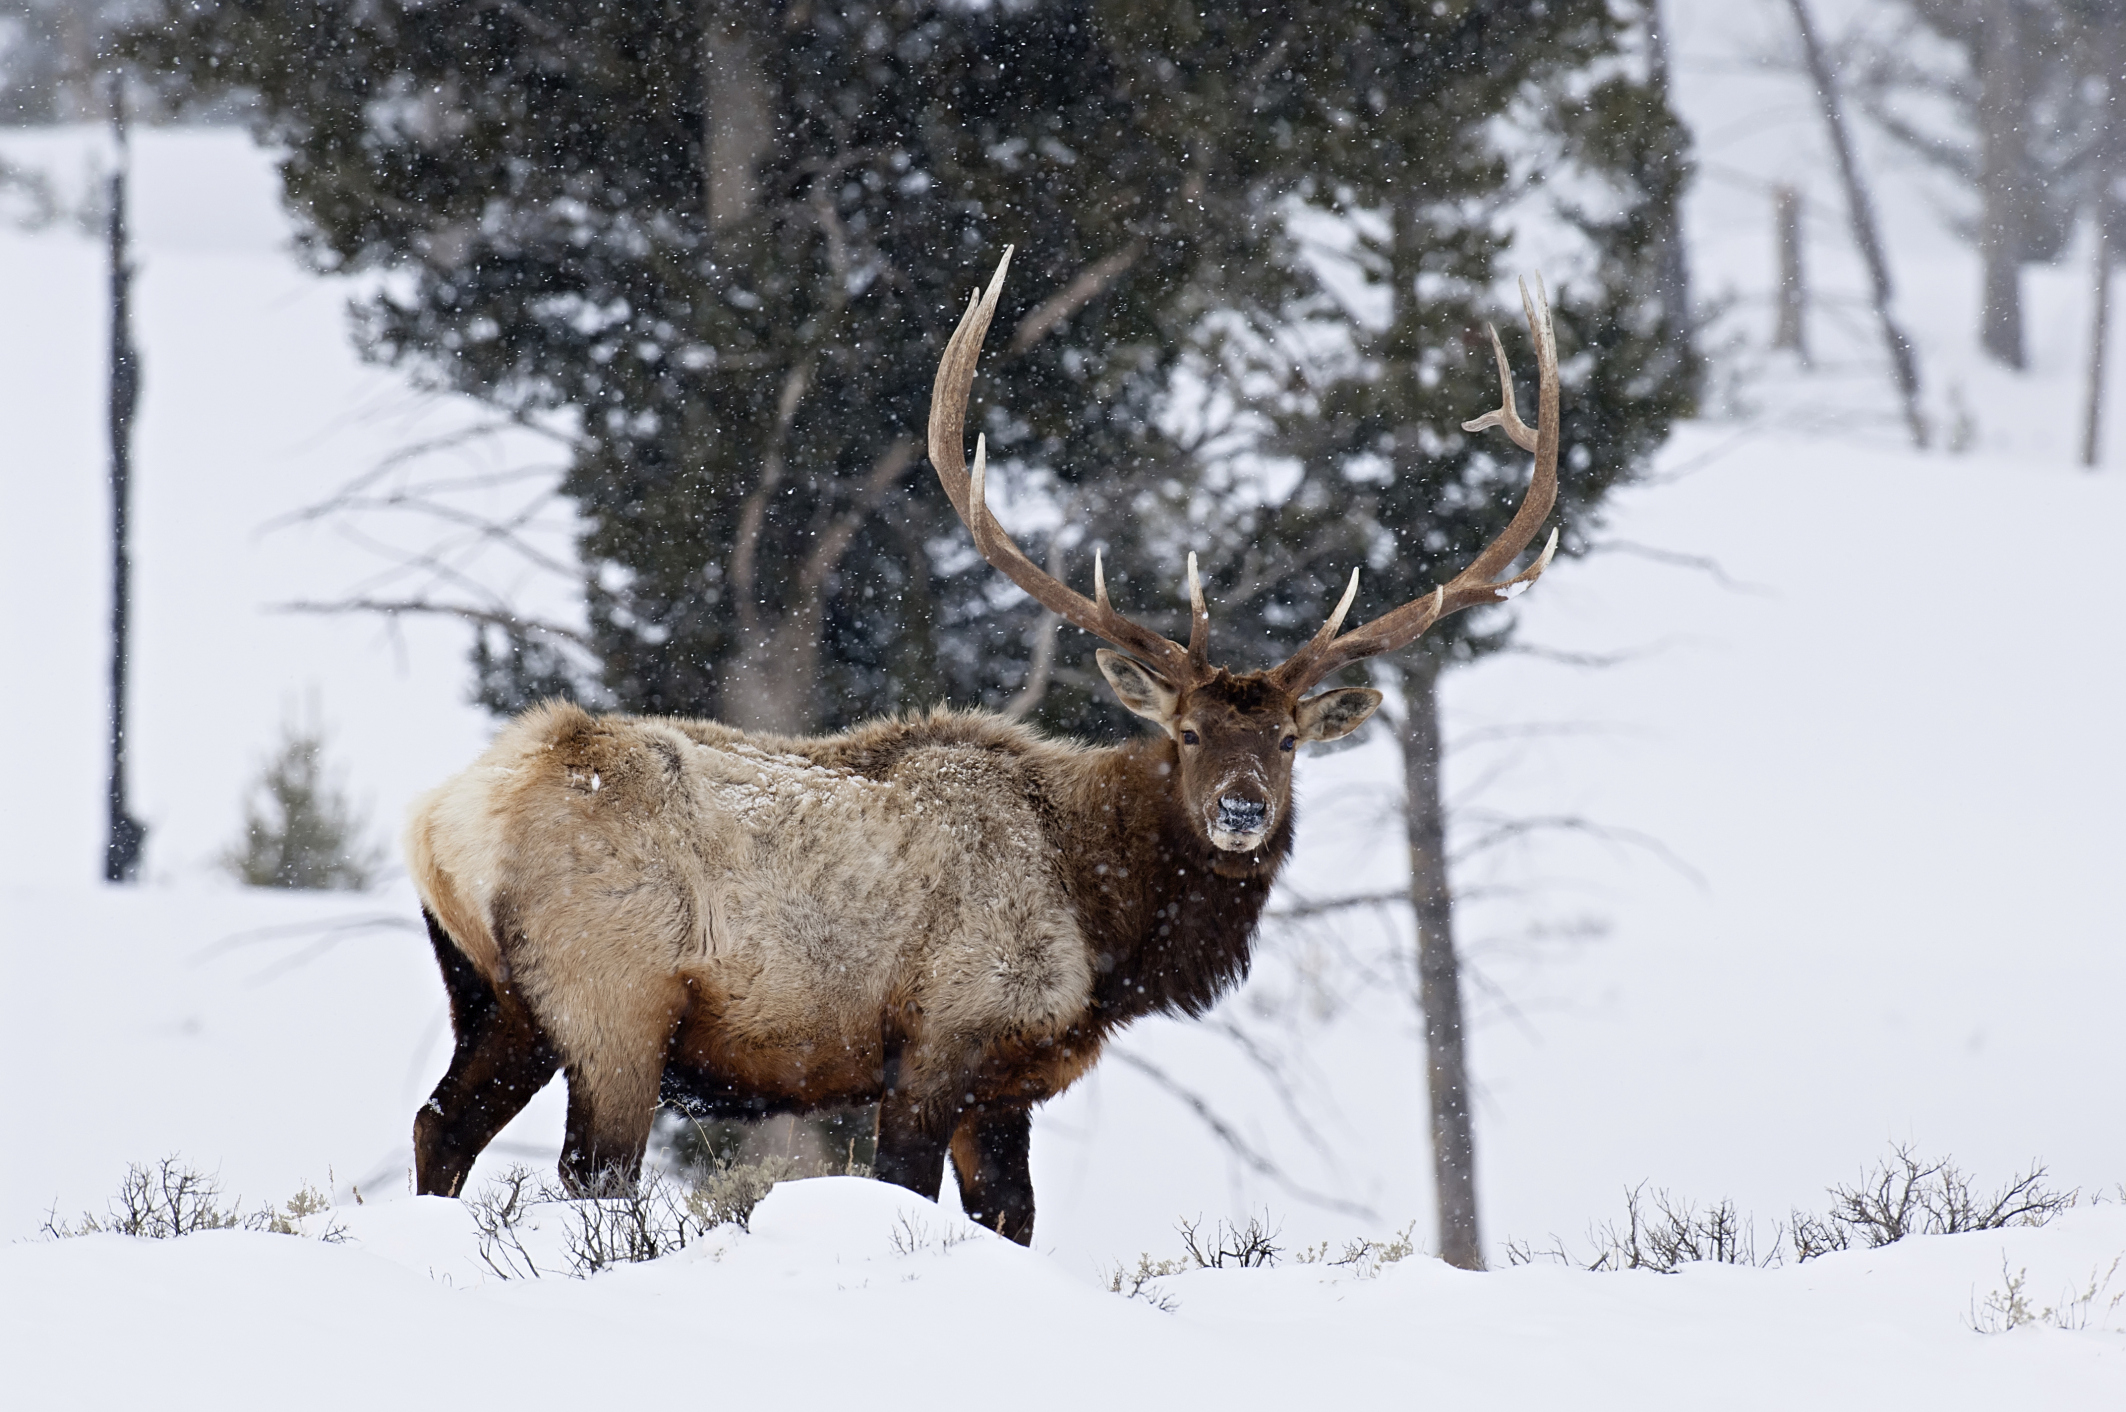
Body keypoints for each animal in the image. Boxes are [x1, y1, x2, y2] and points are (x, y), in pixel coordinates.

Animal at [403, 249, 1561, 1244]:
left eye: (1283, 739)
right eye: (1186, 731)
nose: (1241, 807)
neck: (1103, 930)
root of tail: (443, 820)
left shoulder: (1008, 1085)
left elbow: (1013, 1219)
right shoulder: (942, 1040)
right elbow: (902, 1191)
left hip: (496, 997)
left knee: (438, 1124)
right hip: (611, 998)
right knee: (592, 1168)